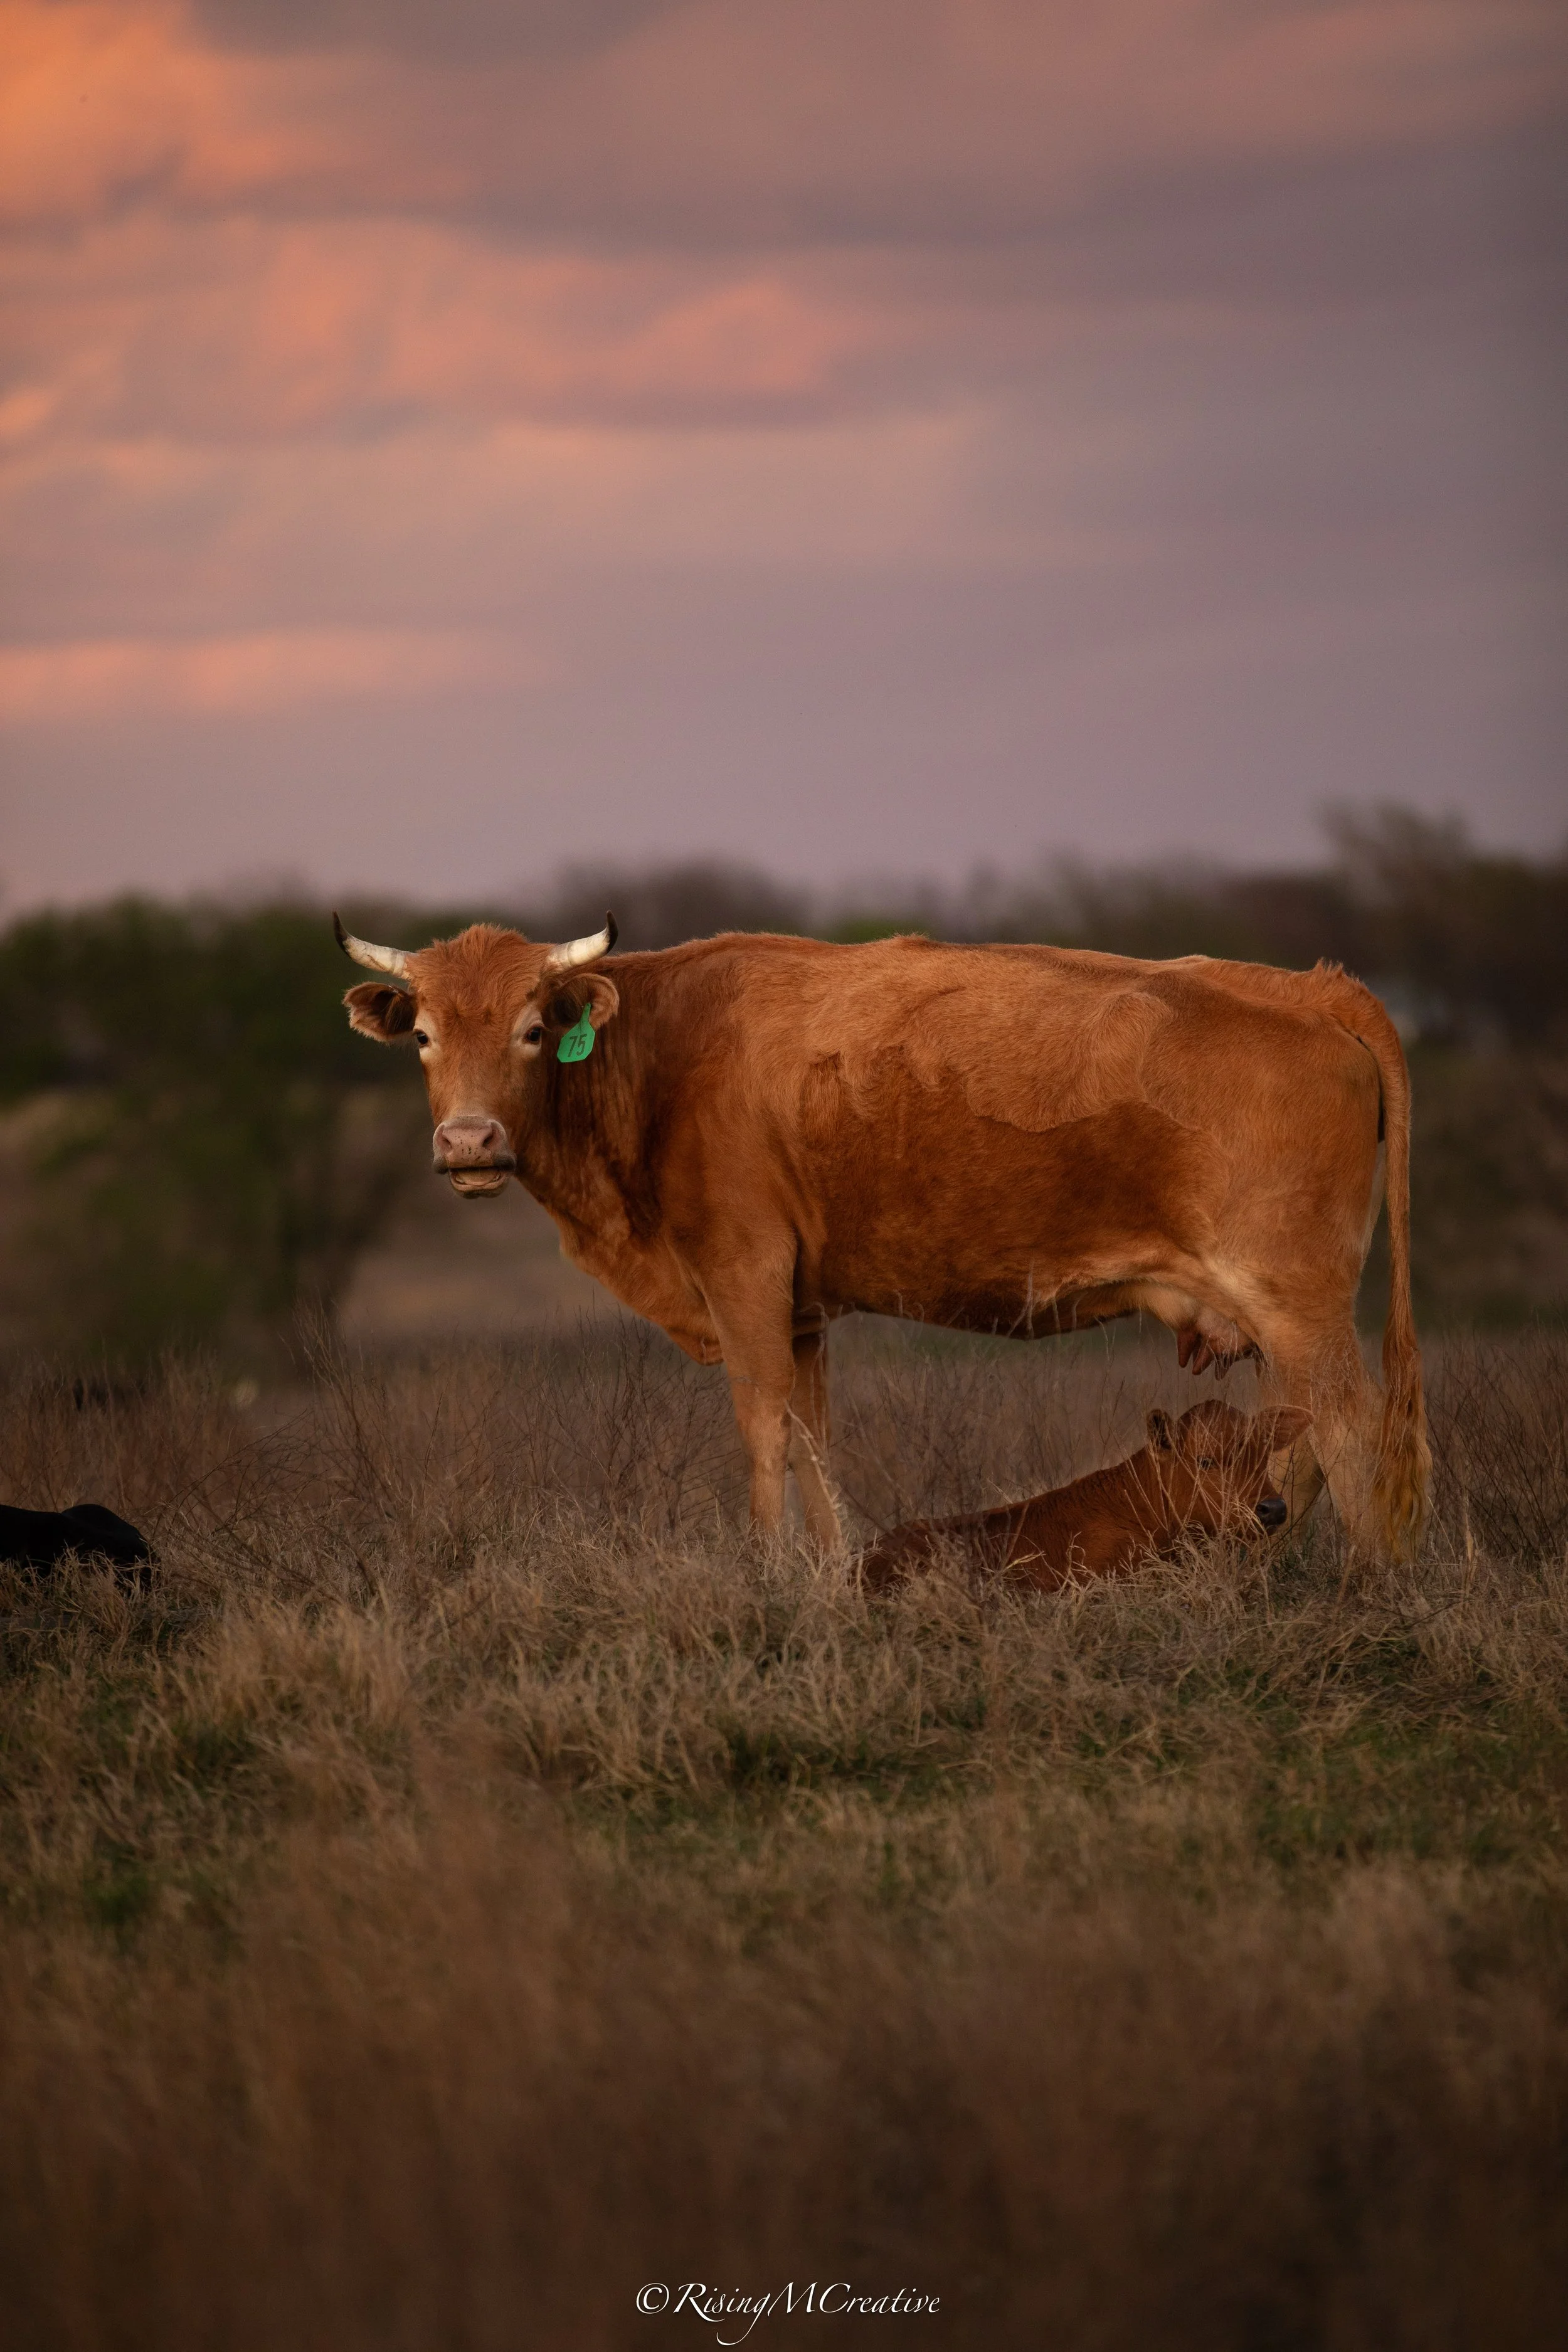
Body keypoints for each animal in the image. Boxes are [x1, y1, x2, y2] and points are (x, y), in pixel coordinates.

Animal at [333, 914, 1429, 1563]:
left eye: (530, 1029)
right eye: (424, 1035)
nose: (469, 1141)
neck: (661, 1054)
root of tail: (1310, 985)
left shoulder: (744, 1278)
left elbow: (765, 1435)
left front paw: (768, 1581)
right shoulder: (802, 1311)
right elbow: (815, 1445)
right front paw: (828, 1587)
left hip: (1299, 1303)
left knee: (1350, 1433)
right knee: (1296, 1444)